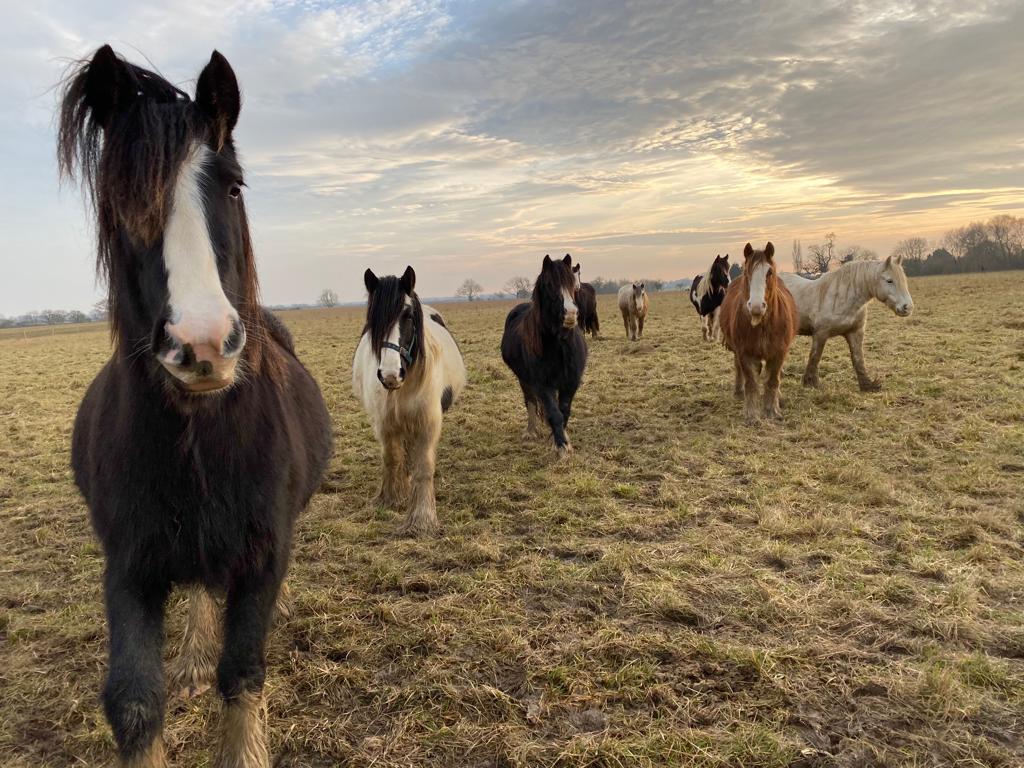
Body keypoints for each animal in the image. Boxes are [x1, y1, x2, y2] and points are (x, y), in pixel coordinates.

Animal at [58, 46, 332, 767]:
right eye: (123, 199)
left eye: (232, 187)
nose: (202, 343)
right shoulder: (128, 568)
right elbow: (133, 701)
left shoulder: (263, 561)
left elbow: (242, 677)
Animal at [352, 266, 466, 535]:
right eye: (373, 321)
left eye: (409, 316)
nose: (390, 375)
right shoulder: (385, 424)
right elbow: (392, 458)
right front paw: (391, 497)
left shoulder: (427, 423)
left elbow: (423, 467)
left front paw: (422, 519)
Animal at [501, 254, 587, 459]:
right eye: (549, 285)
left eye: (573, 284)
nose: (570, 314)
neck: (559, 345)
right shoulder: (543, 384)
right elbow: (554, 413)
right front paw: (561, 446)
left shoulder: (570, 382)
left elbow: (564, 411)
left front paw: (560, 439)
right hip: (524, 379)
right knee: (530, 401)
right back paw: (531, 431)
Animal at [719, 242, 798, 423]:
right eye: (747, 272)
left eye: (769, 272)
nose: (756, 307)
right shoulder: (744, 353)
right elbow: (751, 383)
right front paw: (752, 415)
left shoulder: (778, 353)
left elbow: (773, 381)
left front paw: (771, 411)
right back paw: (738, 391)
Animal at [780, 255, 914, 391]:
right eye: (889, 281)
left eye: (904, 279)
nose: (907, 307)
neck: (843, 297)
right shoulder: (820, 333)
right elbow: (815, 356)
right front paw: (812, 383)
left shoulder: (855, 332)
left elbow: (858, 359)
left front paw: (867, 385)